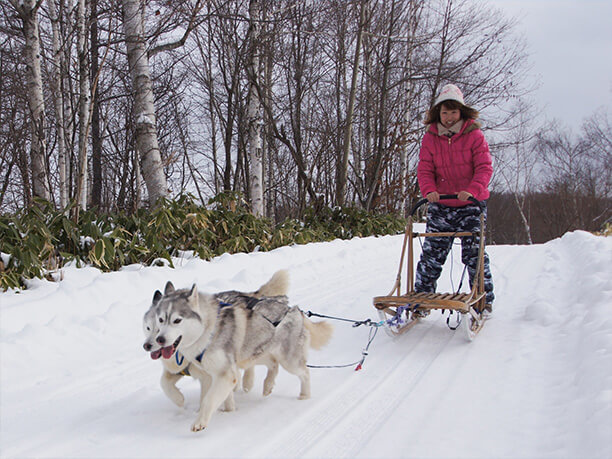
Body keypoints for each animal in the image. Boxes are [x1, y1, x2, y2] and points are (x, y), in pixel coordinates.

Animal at [142, 272, 290, 408]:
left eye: (158, 328)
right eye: (149, 328)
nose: (147, 345)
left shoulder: (210, 374)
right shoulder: (177, 370)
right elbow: (164, 383)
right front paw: (179, 399)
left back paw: (247, 381)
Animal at [153, 278, 334, 434]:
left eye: (177, 320)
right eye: (160, 320)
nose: (159, 339)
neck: (208, 331)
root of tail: (294, 309)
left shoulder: (225, 373)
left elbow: (209, 399)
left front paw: (200, 421)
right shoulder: (216, 373)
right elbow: (223, 397)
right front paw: (228, 411)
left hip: (288, 361)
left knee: (304, 372)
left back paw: (304, 396)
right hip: (254, 353)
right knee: (273, 364)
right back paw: (268, 385)